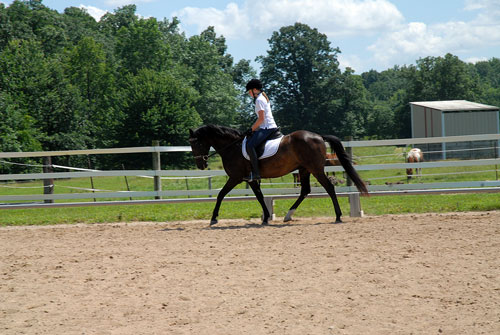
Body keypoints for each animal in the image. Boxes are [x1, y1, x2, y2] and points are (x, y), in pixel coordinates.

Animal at [188, 124, 368, 226]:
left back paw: (338, 216)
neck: (233, 147)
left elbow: (220, 195)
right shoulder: (251, 180)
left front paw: (213, 218)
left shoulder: (236, 178)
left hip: (315, 169)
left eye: (196, 143)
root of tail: (318, 136)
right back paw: (288, 216)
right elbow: (259, 196)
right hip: (304, 169)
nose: (201, 165)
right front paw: (266, 217)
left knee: (329, 187)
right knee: (305, 190)